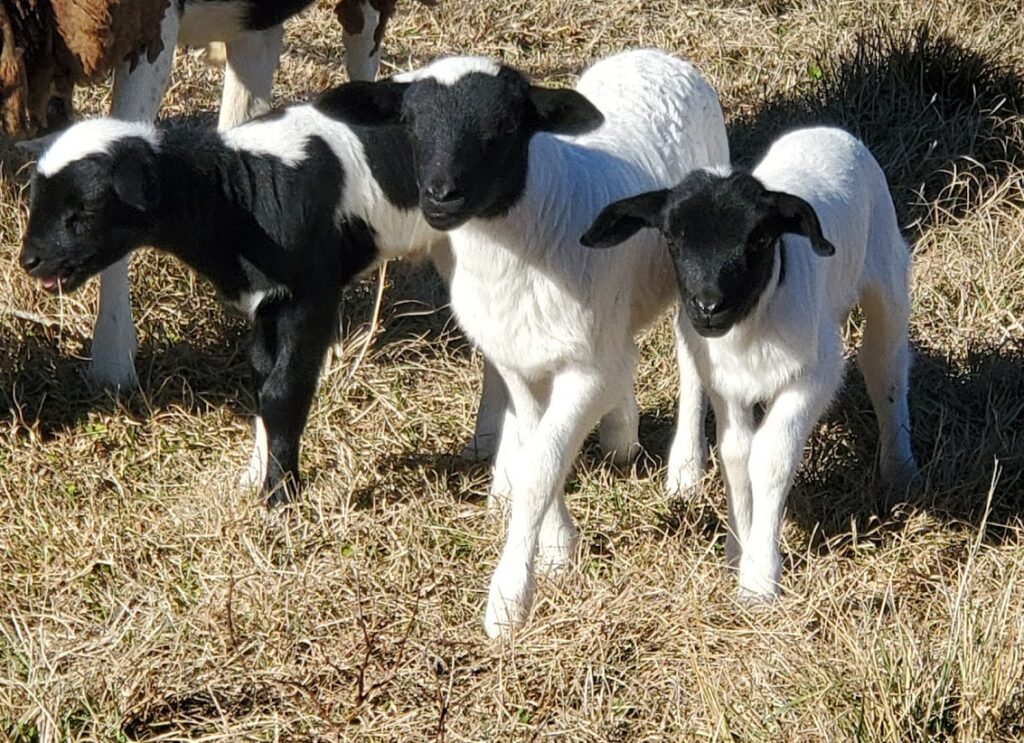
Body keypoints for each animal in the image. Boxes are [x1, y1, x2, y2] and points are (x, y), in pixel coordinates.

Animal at [16, 84, 489, 505]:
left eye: (86, 207)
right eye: (36, 200)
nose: (29, 260)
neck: (238, 192)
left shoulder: (310, 293)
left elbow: (285, 390)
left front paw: (281, 496)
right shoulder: (267, 302)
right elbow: (263, 380)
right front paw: (254, 476)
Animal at [331, 49, 729, 637]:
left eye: (504, 128)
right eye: (410, 125)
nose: (441, 198)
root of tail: (655, 55)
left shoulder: (583, 369)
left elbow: (542, 465)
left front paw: (509, 600)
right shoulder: (519, 362)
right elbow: (537, 453)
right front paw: (558, 547)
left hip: (692, 270)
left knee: (688, 358)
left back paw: (684, 470)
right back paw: (620, 431)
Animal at [581, 126, 919, 598]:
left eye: (759, 239)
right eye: (672, 239)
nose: (709, 306)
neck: (752, 326)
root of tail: (826, 129)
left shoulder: (813, 376)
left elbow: (770, 456)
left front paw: (759, 579)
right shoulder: (729, 386)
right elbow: (736, 455)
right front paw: (737, 552)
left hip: (886, 273)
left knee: (885, 366)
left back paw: (900, 470)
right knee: (690, 368)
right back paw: (685, 468)